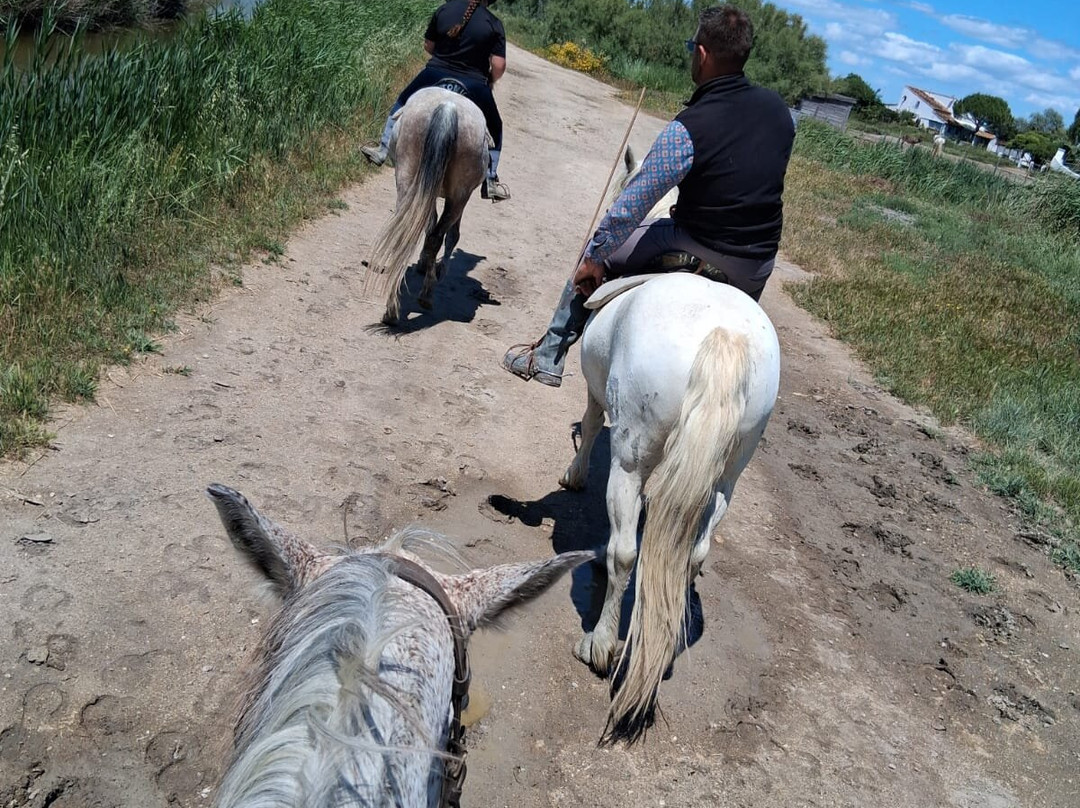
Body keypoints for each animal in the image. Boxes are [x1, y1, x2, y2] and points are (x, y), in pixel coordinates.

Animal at [364, 86, 489, 326]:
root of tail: (448, 108)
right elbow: (448, 234)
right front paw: (438, 268)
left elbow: (433, 227)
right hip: (458, 195)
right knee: (433, 236)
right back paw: (421, 297)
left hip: (411, 179)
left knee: (414, 234)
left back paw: (396, 309)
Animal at [560, 148, 781, 744]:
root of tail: (724, 336)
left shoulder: (597, 395)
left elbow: (590, 426)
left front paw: (573, 475)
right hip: (730, 471)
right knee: (695, 551)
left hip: (631, 461)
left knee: (624, 551)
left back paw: (599, 644)